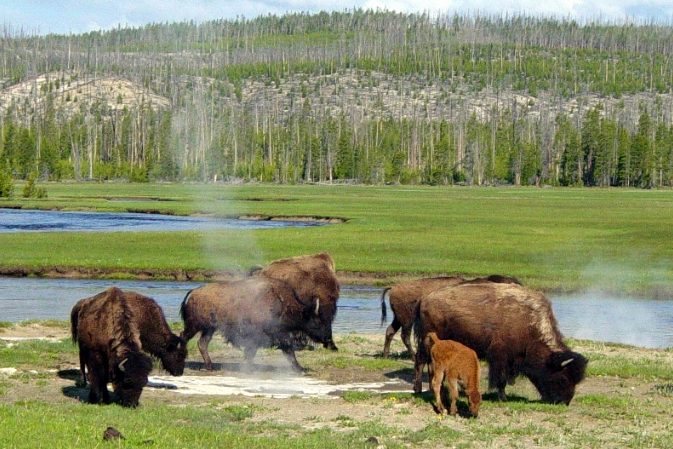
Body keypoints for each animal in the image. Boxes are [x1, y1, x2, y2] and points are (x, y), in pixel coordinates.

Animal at [180, 276, 334, 373]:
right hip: (195, 325)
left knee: (202, 343)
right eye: (317, 321)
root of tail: (194, 292)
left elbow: (252, 353)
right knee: (184, 336)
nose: (328, 339)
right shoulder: (277, 334)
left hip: (209, 328)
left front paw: (250, 367)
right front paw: (300, 369)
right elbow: (289, 350)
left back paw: (210, 367)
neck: (282, 302)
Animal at [413, 282, 587, 405]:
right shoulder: (500, 356)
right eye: (563, 379)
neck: (528, 324)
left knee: (429, 365)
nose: (564, 402)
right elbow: (500, 378)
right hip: (427, 342)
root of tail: (424, 299)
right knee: (421, 361)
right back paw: (419, 389)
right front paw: (502, 397)